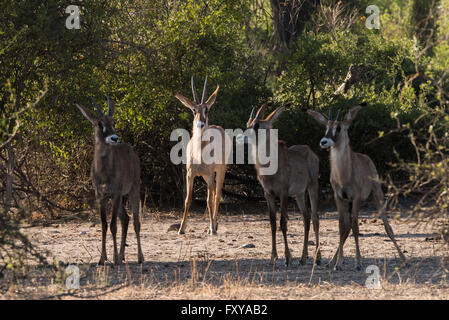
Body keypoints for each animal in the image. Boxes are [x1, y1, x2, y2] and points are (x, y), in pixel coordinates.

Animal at [75, 96, 142, 264]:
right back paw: (121, 255)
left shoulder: (116, 193)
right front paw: (102, 258)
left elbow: (113, 226)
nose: (114, 138)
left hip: (133, 190)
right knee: (125, 219)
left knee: (135, 222)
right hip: (117, 198)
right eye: (99, 123)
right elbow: (104, 225)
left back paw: (139, 257)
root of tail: (132, 152)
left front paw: (114, 259)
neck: (104, 171)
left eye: (113, 122)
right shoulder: (101, 195)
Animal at [172, 76, 228, 234]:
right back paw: (214, 224)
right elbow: (187, 200)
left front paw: (212, 228)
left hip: (219, 171)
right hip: (204, 176)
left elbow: (208, 201)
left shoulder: (209, 175)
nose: (201, 124)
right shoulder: (190, 175)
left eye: (207, 109)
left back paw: (213, 226)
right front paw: (181, 228)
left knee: (217, 195)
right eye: (194, 109)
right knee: (214, 193)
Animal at [240, 102, 320, 264]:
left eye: (257, 125)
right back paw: (303, 258)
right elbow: (272, 223)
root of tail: (311, 153)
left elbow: (283, 223)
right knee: (306, 217)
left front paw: (287, 257)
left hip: (312, 186)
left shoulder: (283, 193)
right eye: (248, 124)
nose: (241, 137)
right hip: (299, 193)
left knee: (315, 217)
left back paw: (317, 257)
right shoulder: (268, 194)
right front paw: (273, 257)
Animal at [304, 105, 406, 270]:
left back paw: (404, 259)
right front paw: (338, 263)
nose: (324, 142)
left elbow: (356, 227)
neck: (345, 173)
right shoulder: (339, 197)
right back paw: (332, 262)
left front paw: (358, 262)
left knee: (386, 226)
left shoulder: (356, 198)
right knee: (346, 227)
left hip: (376, 194)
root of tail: (367, 158)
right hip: (349, 202)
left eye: (339, 127)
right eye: (326, 126)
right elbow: (341, 226)